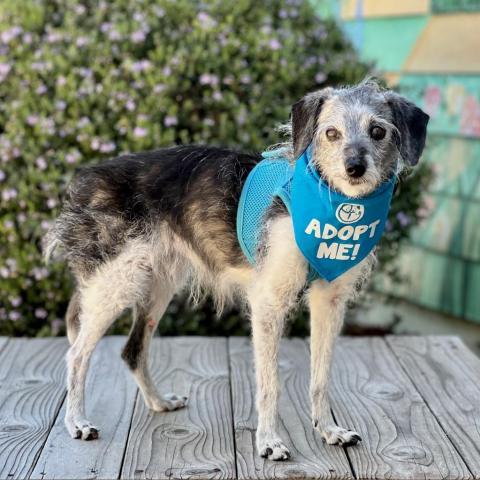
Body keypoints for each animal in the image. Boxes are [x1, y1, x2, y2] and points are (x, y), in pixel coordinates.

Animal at [45, 82, 428, 462]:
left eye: (378, 131)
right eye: (331, 133)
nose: (354, 168)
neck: (330, 202)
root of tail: (87, 177)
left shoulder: (329, 300)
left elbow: (320, 378)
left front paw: (329, 431)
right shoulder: (269, 302)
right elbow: (270, 383)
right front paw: (269, 441)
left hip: (159, 282)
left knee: (132, 349)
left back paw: (158, 402)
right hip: (117, 281)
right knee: (77, 354)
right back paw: (77, 421)